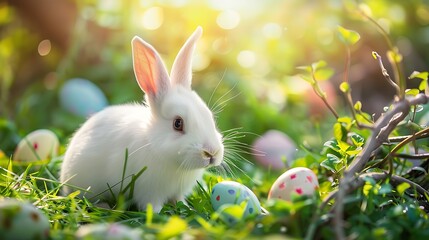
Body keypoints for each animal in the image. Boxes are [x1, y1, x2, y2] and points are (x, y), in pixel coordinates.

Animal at [59, 26, 224, 212]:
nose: (211, 153)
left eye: (209, 116)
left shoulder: (178, 191)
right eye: (177, 123)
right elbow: (153, 205)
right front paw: (158, 214)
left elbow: (179, 199)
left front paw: (186, 208)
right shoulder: (150, 193)